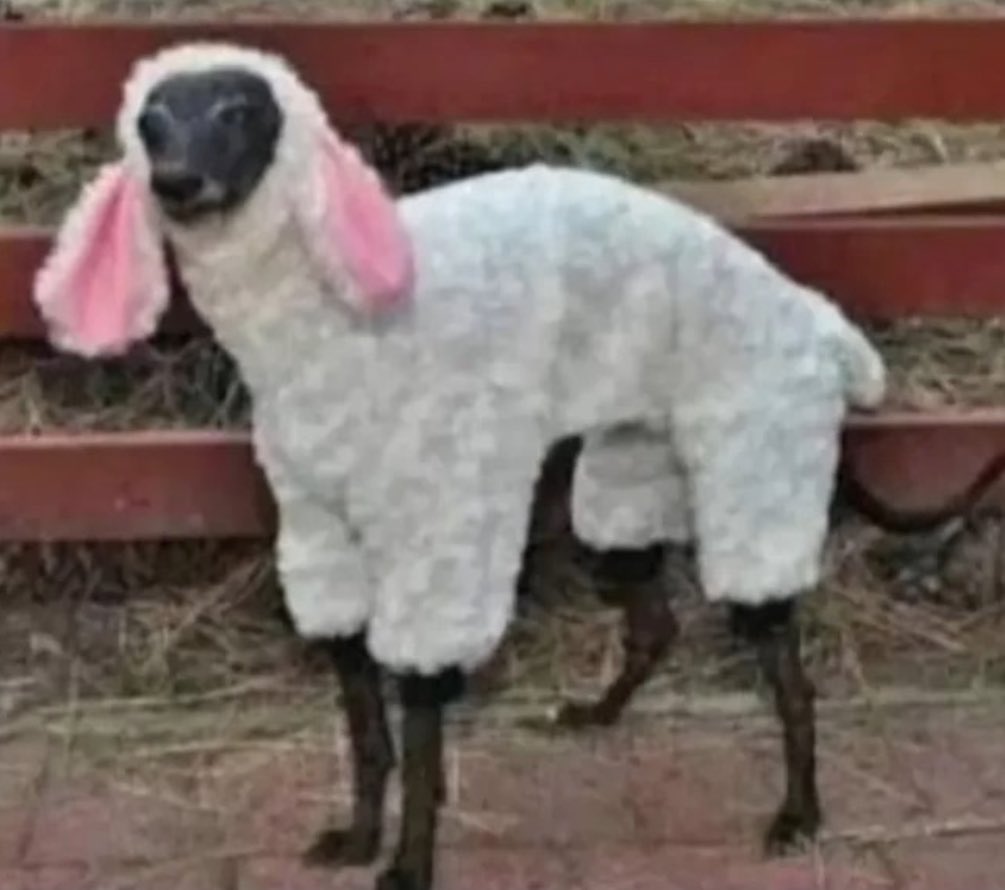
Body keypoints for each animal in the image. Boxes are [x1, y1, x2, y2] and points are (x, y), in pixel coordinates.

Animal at [33, 41, 1003, 890]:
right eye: (151, 120)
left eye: (239, 111)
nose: (176, 184)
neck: (324, 329)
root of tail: (822, 329)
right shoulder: (321, 543)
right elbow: (366, 731)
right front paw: (358, 837)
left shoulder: (436, 544)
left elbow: (421, 733)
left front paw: (409, 864)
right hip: (623, 496)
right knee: (655, 626)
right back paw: (597, 716)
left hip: (753, 476)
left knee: (792, 682)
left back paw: (797, 815)